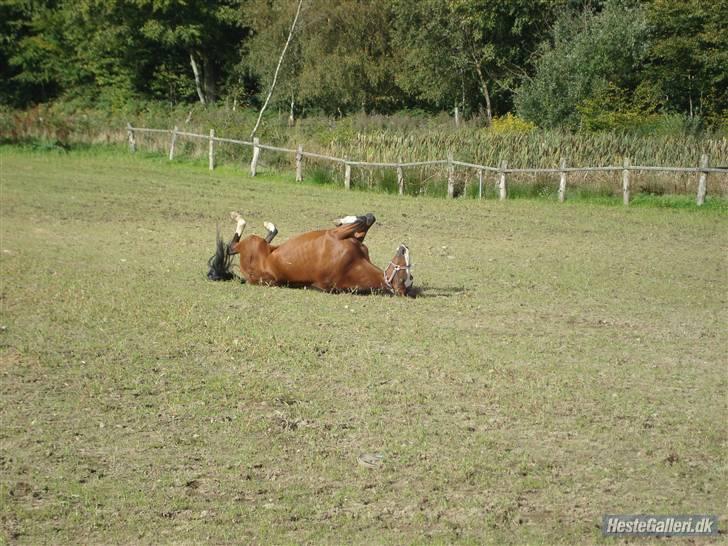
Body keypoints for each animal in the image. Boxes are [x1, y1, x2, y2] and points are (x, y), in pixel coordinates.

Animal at [210, 212, 416, 298]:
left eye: (406, 276)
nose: (404, 248)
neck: (352, 266)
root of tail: (247, 277)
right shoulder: (354, 239)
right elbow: (368, 220)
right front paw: (343, 219)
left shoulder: (336, 235)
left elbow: (363, 219)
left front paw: (342, 219)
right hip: (266, 246)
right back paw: (270, 226)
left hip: (251, 244)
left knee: (231, 247)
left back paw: (241, 218)